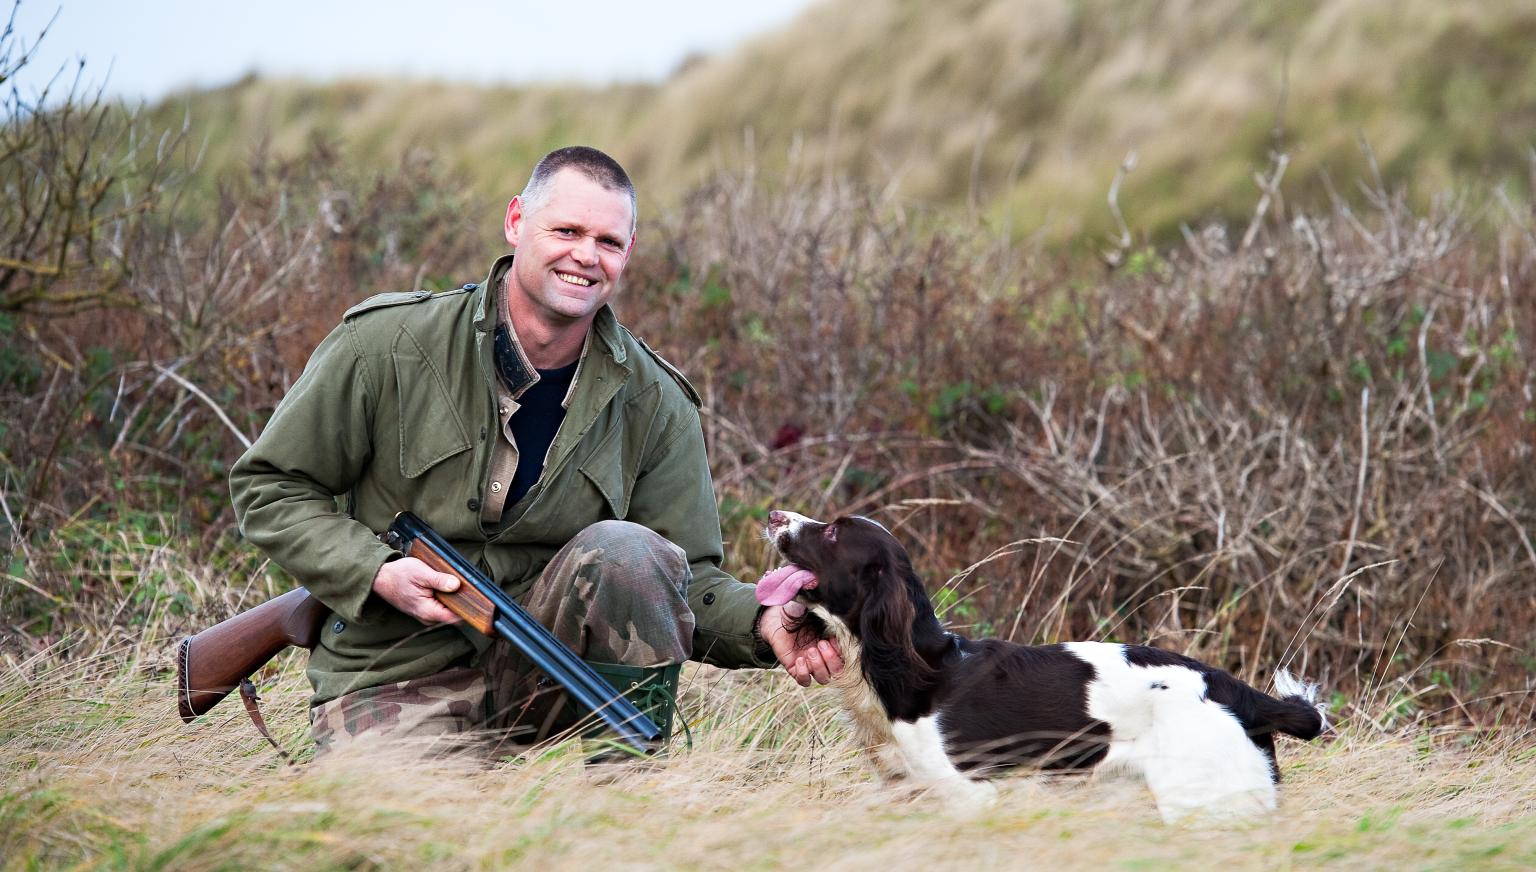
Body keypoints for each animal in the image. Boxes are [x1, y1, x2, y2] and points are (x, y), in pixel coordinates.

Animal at [761, 506, 1327, 822]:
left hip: (1202, 800)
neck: (915, 667)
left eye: (834, 534)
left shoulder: (970, 795)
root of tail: (1242, 695)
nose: (773, 516)